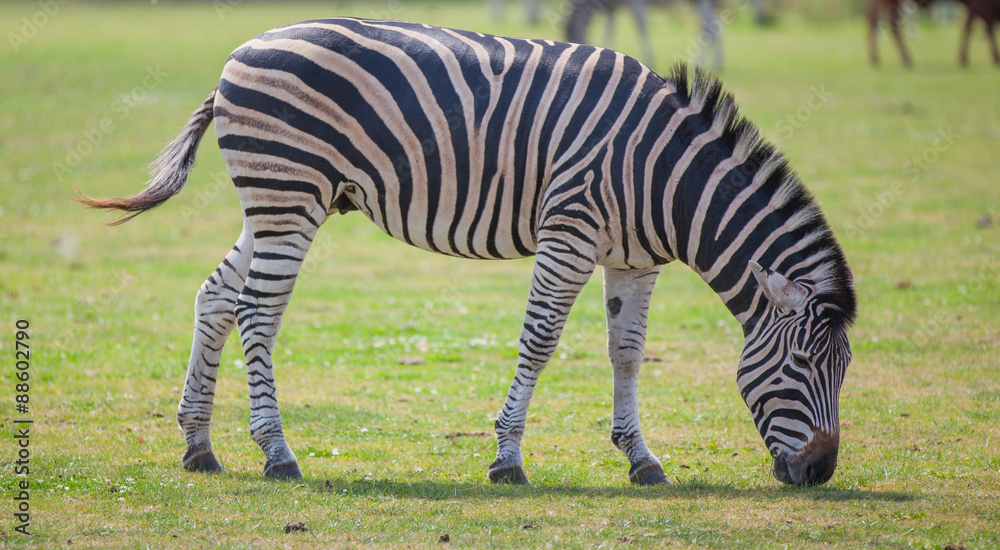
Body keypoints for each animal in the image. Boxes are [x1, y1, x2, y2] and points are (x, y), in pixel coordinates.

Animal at [79, 17, 857, 487]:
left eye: (844, 369)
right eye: (801, 366)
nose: (822, 472)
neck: (661, 174)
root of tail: (238, 54)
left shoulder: (633, 258)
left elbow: (627, 353)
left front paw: (641, 457)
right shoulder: (570, 232)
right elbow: (540, 342)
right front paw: (508, 457)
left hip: (279, 204)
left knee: (217, 295)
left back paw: (199, 445)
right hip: (288, 196)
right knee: (257, 312)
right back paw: (276, 452)